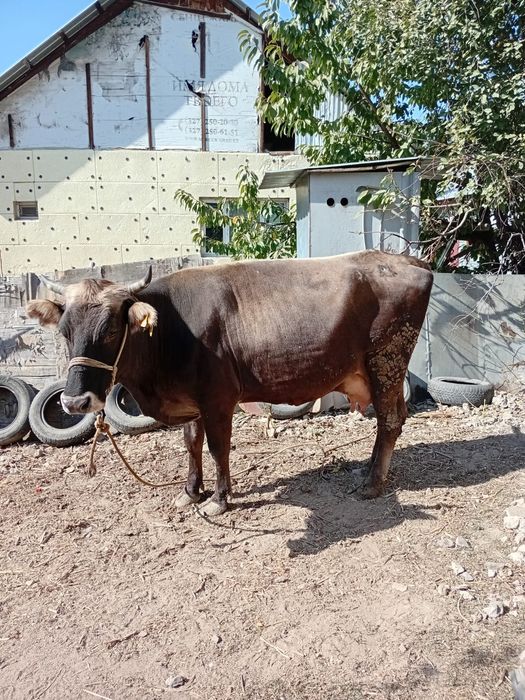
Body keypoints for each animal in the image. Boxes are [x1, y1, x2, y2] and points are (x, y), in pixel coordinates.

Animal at [27, 251, 433, 516]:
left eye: (111, 329)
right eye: (64, 331)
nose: (75, 403)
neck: (169, 331)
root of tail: (410, 261)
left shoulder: (219, 399)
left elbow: (217, 448)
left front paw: (219, 500)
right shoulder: (190, 401)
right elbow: (191, 444)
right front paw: (190, 492)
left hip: (387, 362)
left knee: (390, 420)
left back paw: (371, 483)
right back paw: (367, 470)